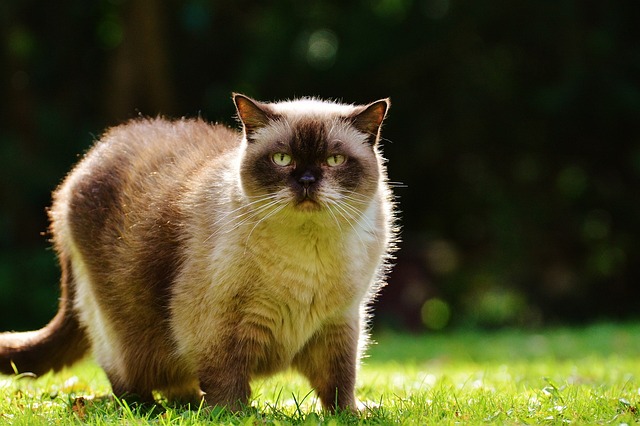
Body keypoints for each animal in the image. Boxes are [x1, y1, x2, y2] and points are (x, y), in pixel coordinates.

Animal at [0, 93, 398, 412]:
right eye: (282, 159)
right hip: (121, 329)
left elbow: (340, 383)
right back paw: (154, 409)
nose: (306, 181)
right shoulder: (218, 326)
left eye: (334, 160)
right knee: (126, 378)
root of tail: (79, 170)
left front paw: (351, 415)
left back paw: (188, 405)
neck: (307, 254)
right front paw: (237, 417)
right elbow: (227, 384)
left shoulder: (339, 323)